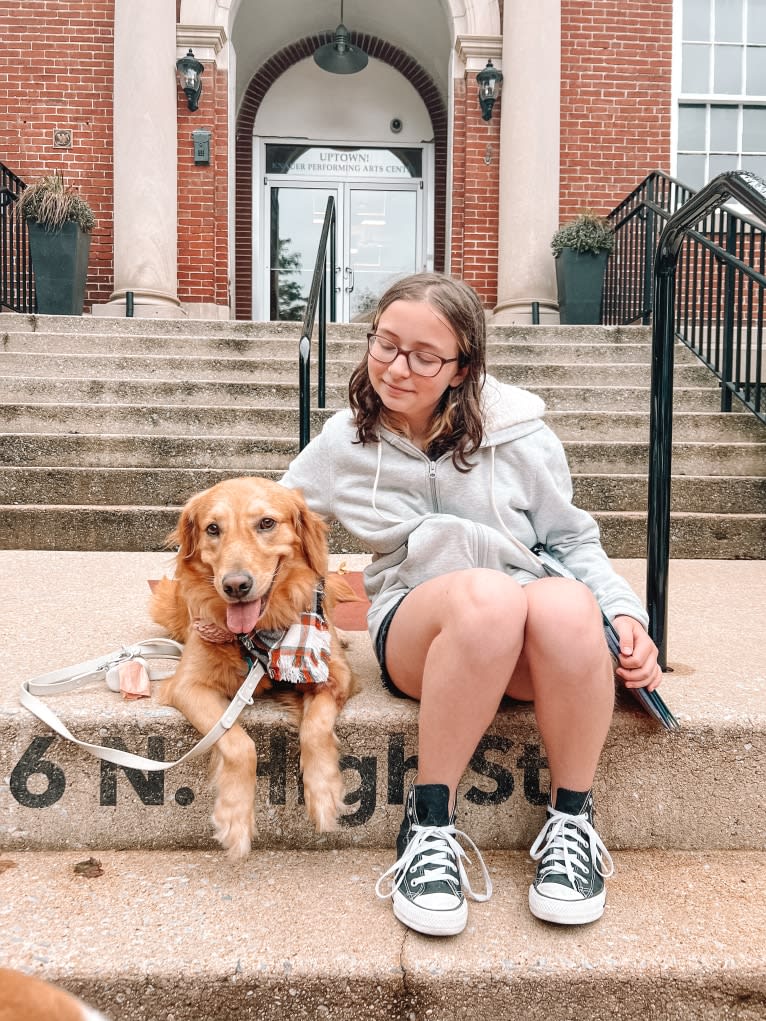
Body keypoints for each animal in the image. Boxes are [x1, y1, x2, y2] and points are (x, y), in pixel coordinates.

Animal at [151, 473, 359, 857]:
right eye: (213, 528)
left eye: (266, 523)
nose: (235, 585)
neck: (260, 633)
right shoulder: (188, 685)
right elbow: (239, 744)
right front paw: (234, 817)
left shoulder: (334, 673)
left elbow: (316, 727)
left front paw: (324, 792)